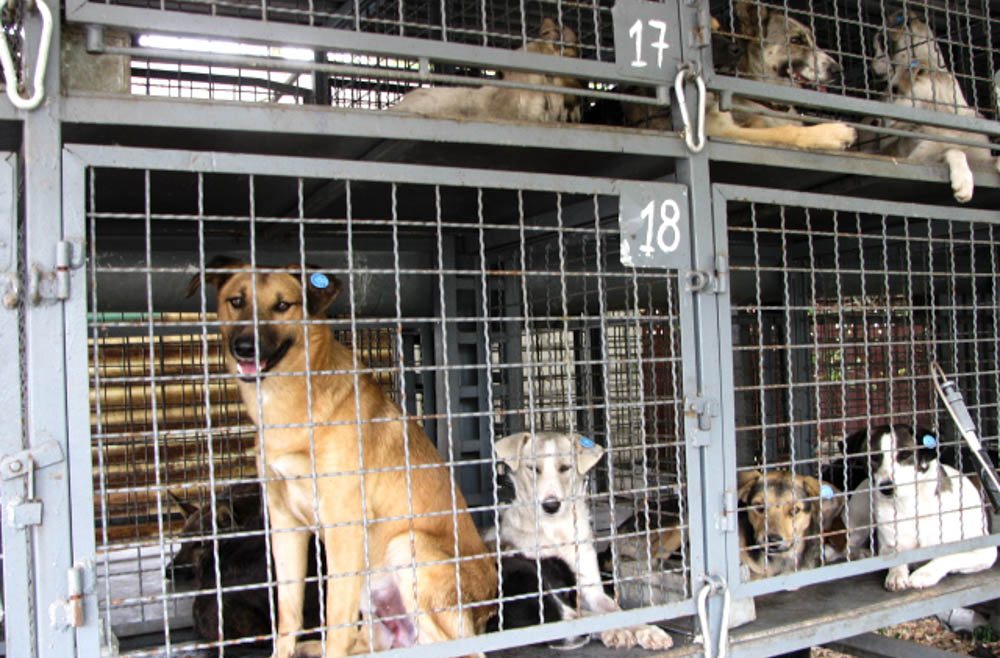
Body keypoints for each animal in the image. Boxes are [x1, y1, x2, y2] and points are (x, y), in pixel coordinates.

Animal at [186, 257, 497, 657]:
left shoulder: (344, 529)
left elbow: (336, 621)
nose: (245, 347)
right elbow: (288, 614)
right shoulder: (285, 524)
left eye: (283, 305)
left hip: (408, 547)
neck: (290, 408)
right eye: (236, 301)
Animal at [486, 430, 673, 650]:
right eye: (533, 468)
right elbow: (587, 615)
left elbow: (615, 610)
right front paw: (614, 631)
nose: (551, 505)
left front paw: (647, 630)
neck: (555, 530)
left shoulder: (591, 590)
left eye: (565, 467)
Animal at [839, 424, 995, 591]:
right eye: (874, 457)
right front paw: (897, 573)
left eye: (905, 454)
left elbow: (948, 555)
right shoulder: (887, 545)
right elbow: (896, 554)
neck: (908, 505)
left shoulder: (985, 551)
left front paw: (924, 574)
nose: (886, 488)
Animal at [871, 11, 1000, 202]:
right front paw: (963, 179)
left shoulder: (981, 158)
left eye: (894, 90)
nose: (875, 121)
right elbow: (953, 150)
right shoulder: (919, 157)